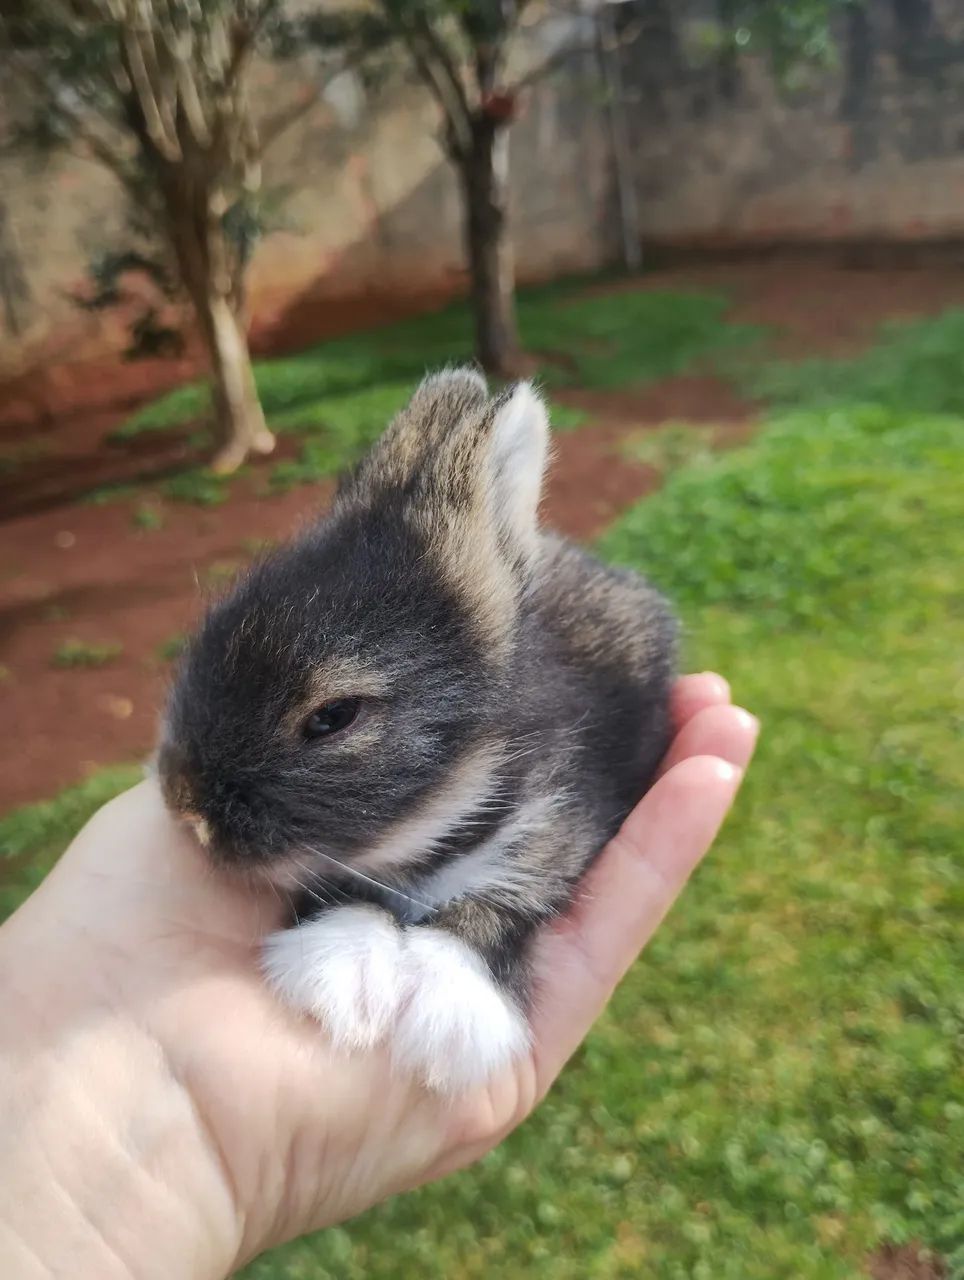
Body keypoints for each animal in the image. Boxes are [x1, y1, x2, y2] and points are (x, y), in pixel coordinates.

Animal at [157, 368, 677, 1093]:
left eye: (333, 717)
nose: (186, 809)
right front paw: (337, 978)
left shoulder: (558, 822)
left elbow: (506, 900)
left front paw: (448, 1016)